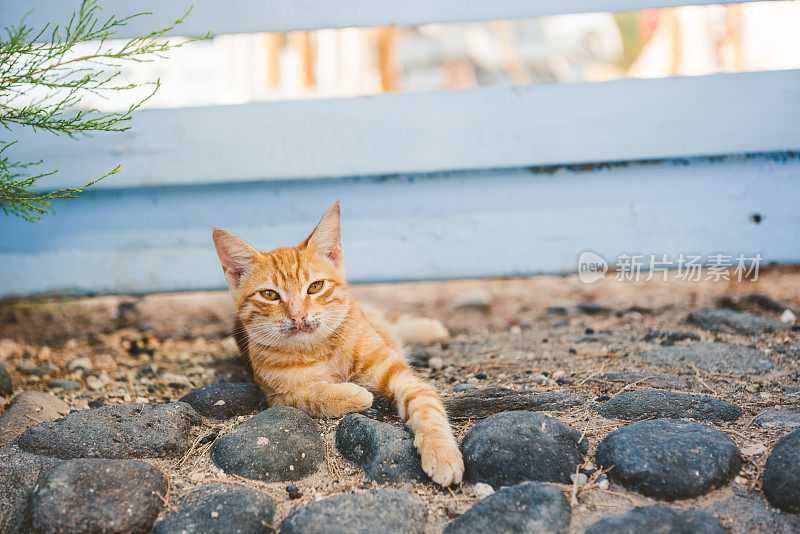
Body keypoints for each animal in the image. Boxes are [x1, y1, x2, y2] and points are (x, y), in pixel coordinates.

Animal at [212, 203, 462, 488]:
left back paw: (431, 328)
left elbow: (426, 405)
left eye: (315, 287)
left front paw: (442, 452)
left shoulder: (400, 374)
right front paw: (354, 394)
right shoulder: (278, 397)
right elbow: (312, 396)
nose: (298, 317)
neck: (318, 348)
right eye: (269, 295)